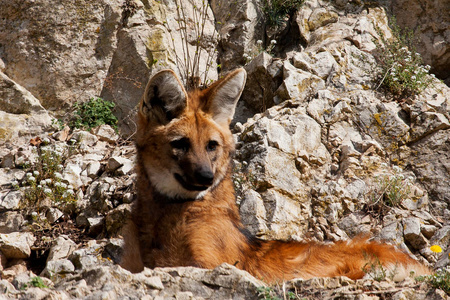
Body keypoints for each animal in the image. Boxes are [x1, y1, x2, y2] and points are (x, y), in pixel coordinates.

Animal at [121, 68, 430, 282]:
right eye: (181, 144)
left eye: (211, 146)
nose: (207, 177)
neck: (165, 215)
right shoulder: (137, 265)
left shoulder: (209, 265)